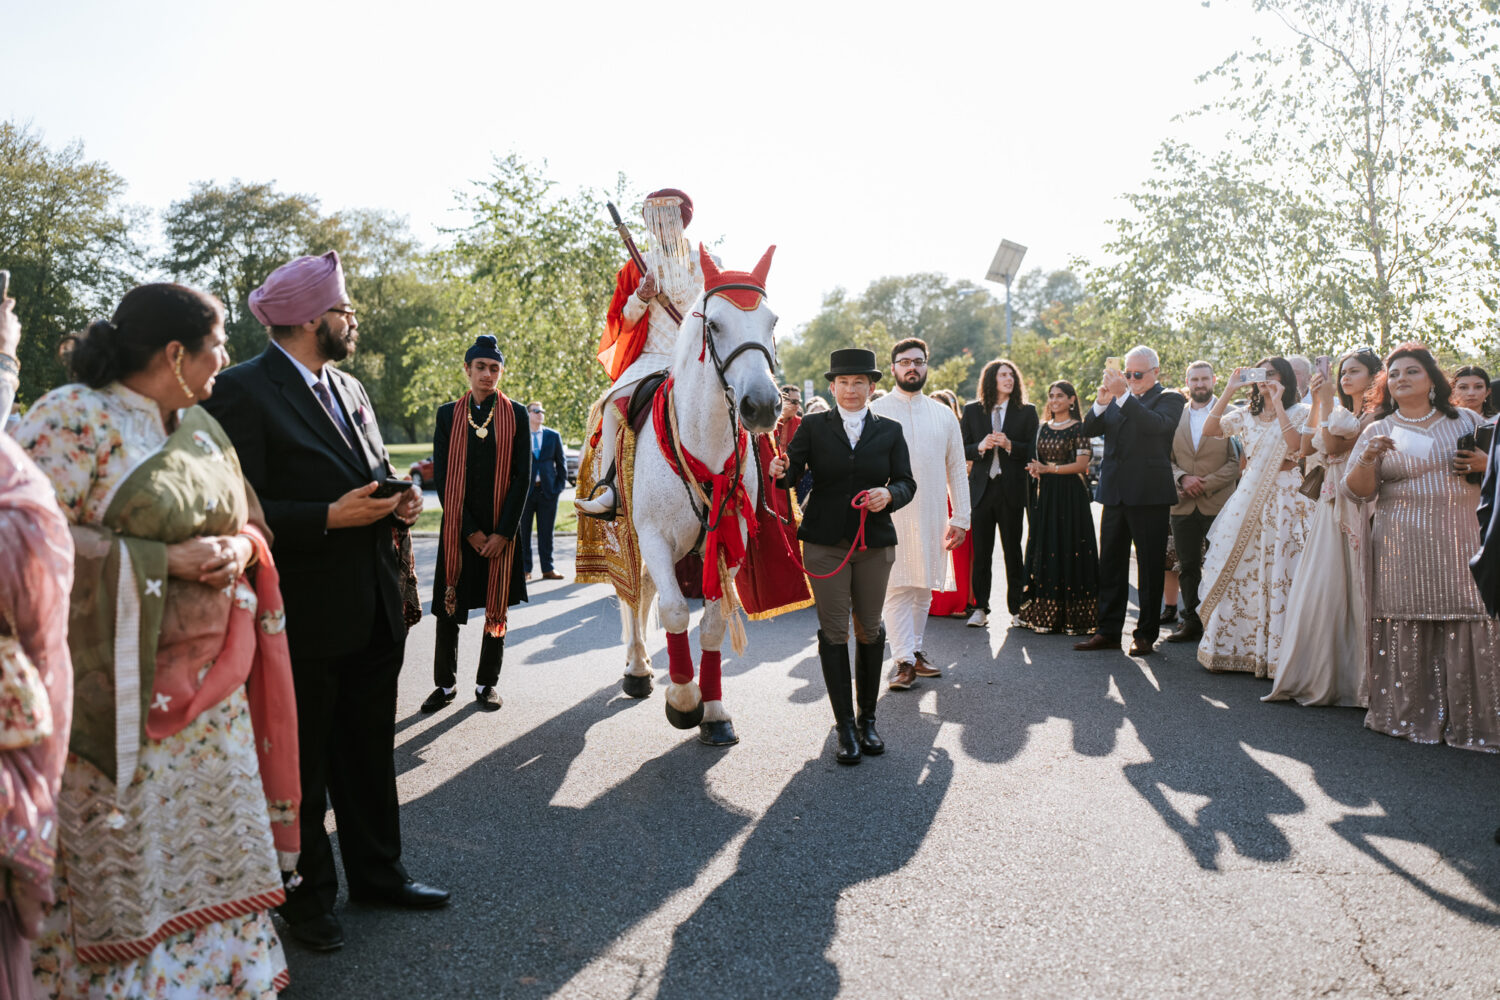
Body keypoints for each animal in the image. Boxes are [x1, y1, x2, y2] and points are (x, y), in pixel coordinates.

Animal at [618, 245, 786, 746]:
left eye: (771, 321)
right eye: (714, 324)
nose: (763, 405)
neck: (704, 445)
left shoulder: (729, 540)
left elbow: (712, 625)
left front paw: (713, 712)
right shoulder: (653, 536)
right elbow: (674, 610)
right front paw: (683, 700)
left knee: (643, 592)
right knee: (631, 595)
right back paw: (637, 669)